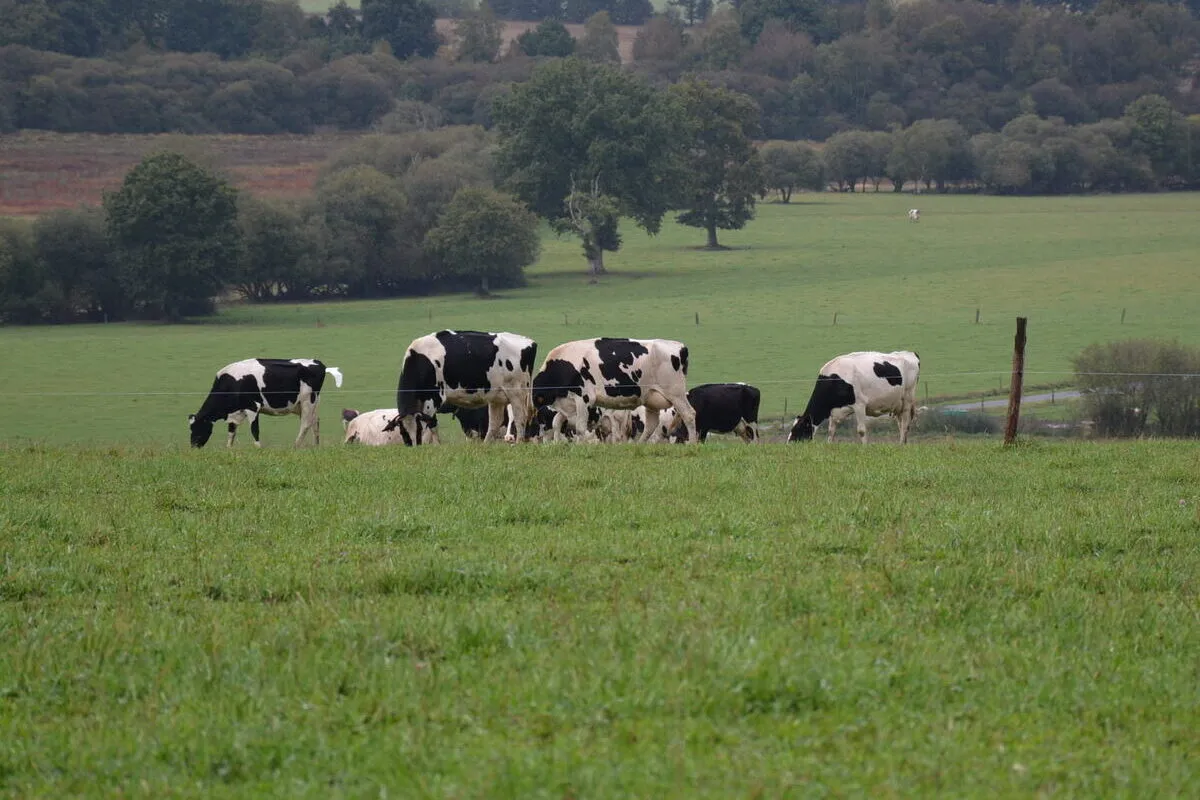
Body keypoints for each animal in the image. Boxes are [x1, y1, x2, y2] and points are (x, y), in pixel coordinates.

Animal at [188, 358, 343, 448]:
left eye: (197, 427)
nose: (193, 446)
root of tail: (318, 363)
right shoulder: (235, 412)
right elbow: (231, 432)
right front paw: (229, 449)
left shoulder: (252, 407)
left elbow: (254, 430)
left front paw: (258, 448)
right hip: (310, 402)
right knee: (315, 421)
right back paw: (316, 446)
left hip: (307, 400)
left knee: (305, 424)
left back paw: (295, 446)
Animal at [390, 330, 537, 446]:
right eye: (403, 433)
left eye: (419, 431)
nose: (415, 446)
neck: (420, 361)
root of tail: (529, 341)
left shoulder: (433, 398)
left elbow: (432, 425)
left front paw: (436, 446)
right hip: (497, 396)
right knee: (495, 423)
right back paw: (485, 445)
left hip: (516, 393)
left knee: (520, 417)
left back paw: (518, 443)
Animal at [531, 338, 698, 443]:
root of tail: (679, 346)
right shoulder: (568, 403)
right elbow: (556, 422)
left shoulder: (584, 398)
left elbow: (580, 428)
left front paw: (581, 445)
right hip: (651, 398)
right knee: (651, 424)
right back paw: (640, 445)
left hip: (676, 393)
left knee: (689, 414)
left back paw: (693, 443)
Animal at [788, 351, 921, 444]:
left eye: (797, 430)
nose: (789, 445)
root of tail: (910, 353)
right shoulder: (834, 410)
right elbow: (831, 430)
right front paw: (829, 445)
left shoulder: (860, 405)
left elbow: (861, 430)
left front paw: (865, 447)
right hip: (897, 404)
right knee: (901, 424)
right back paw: (904, 443)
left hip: (907, 399)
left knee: (905, 424)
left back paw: (901, 444)